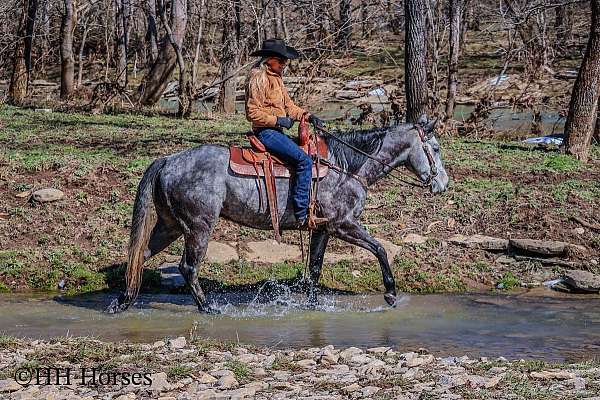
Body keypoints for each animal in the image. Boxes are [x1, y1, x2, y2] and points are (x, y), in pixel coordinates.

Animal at [106, 120, 446, 314]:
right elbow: (380, 249)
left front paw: (312, 304)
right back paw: (207, 307)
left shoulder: (322, 229)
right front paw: (390, 293)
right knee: (188, 267)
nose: (442, 184)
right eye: (436, 148)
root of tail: (167, 160)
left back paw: (124, 300)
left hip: (170, 226)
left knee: (139, 256)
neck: (347, 167)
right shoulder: (344, 225)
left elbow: (315, 268)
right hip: (198, 227)